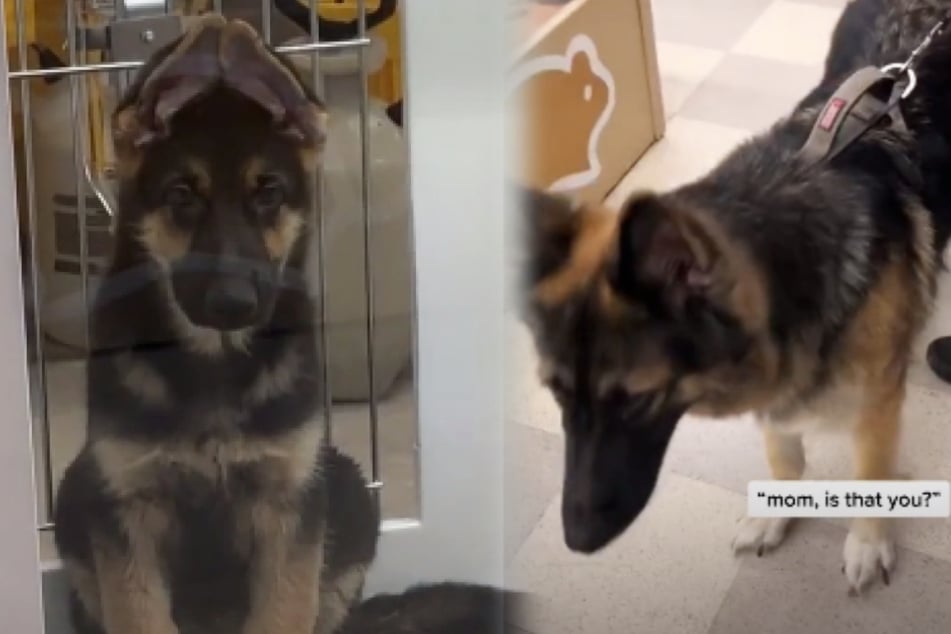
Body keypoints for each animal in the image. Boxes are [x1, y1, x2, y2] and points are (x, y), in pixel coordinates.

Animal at [54, 14, 378, 632]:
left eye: (269, 193)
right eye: (182, 194)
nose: (233, 303)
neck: (214, 362)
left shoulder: (289, 502)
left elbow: (283, 611)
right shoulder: (127, 507)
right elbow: (139, 615)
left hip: (348, 491)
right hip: (74, 498)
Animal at [520, 0, 951, 592]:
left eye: (635, 401)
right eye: (557, 395)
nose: (577, 543)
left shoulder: (877, 404)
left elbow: (871, 475)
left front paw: (867, 541)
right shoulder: (777, 389)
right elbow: (784, 458)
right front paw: (775, 513)